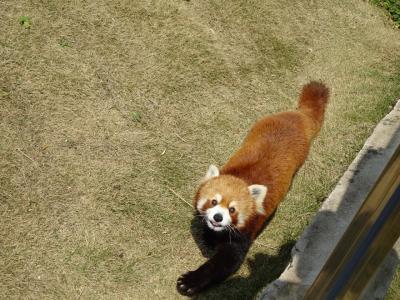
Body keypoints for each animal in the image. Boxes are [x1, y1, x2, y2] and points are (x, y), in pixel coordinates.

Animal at [177, 81, 330, 296]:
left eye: (232, 209)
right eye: (213, 201)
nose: (218, 217)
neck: (241, 178)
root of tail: (298, 117)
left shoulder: (244, 232)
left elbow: (227, 261)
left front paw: (191, 281)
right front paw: (208, 237)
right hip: (260, 124)